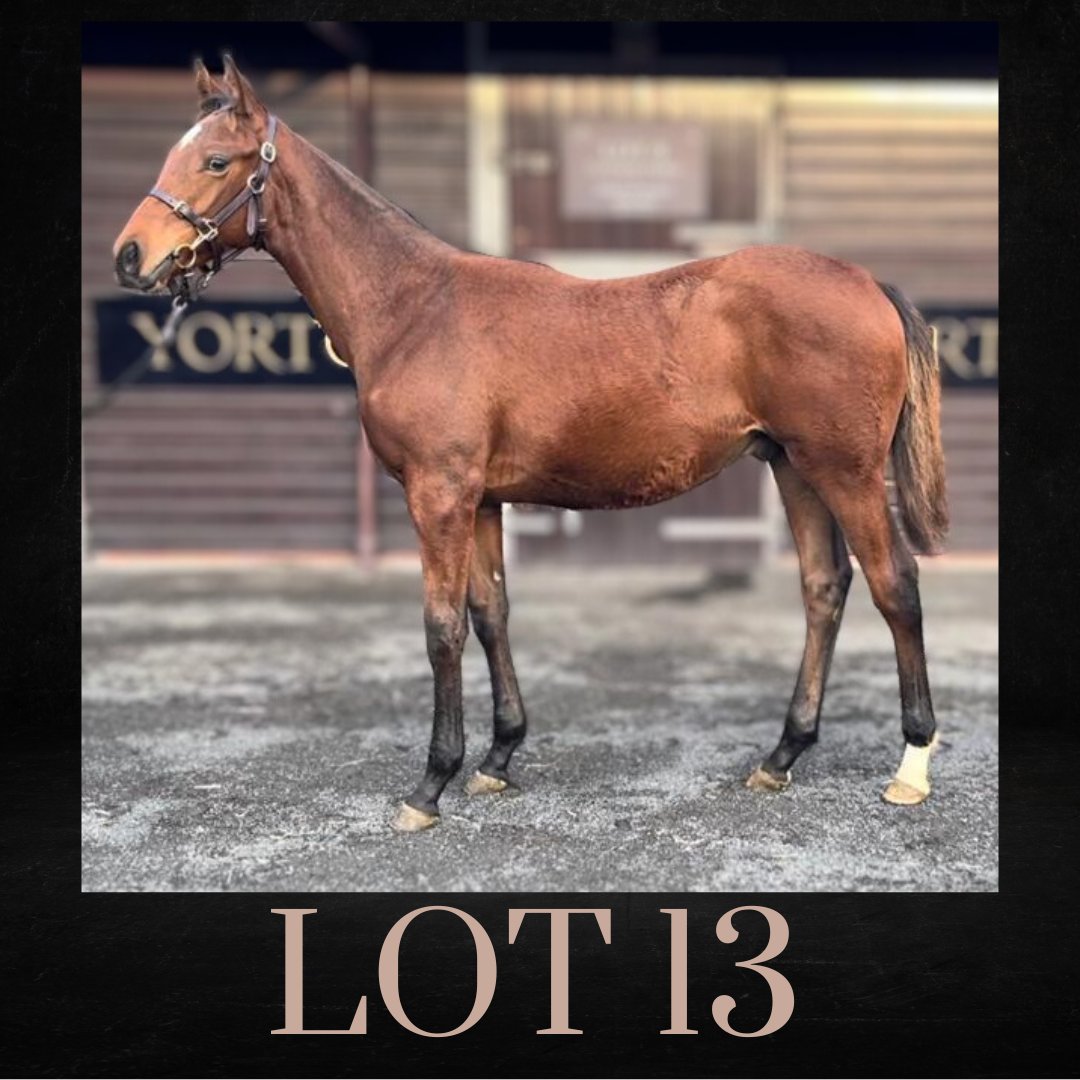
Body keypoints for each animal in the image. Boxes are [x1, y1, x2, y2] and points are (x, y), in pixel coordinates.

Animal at [112, 57, 948, 832]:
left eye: (217, 161)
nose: (129, 257)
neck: (412, 307)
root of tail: (867, 283)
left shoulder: (439, 494)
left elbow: (442, 627)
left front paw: (431, 784)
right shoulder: (480, 500)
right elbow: (491, 612)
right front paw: (498, 756)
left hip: (844, 471)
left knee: (895, 585)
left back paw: (912, 764)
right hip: (793, 467)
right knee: (824, 588)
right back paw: (781, 755)